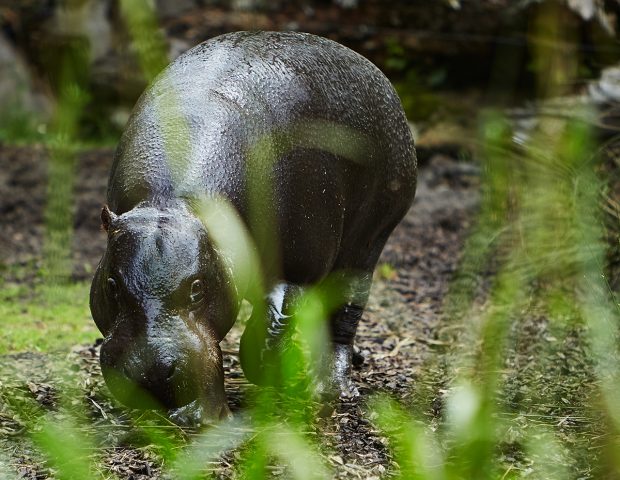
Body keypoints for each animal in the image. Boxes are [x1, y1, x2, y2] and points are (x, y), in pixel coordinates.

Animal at [88, 31, 416, 426]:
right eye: (111, 285)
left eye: (197, 288)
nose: (151, 372)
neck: (170, 201)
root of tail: (372, 68)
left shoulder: (297, 266)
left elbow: (269, 330)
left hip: (369, 237)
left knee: (345, 305)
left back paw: (330, 388)